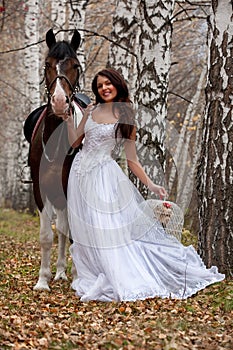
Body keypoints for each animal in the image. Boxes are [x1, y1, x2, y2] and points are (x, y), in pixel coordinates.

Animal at [23, 28, 89, 292]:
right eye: (47, 64)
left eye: (75, 66)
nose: (60, 102)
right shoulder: (41, 191)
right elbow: (46, 236)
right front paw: (43, 280)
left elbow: (71, 232)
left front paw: (77, 278)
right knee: (60, 229)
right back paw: (59, 271)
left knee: (66, 229)